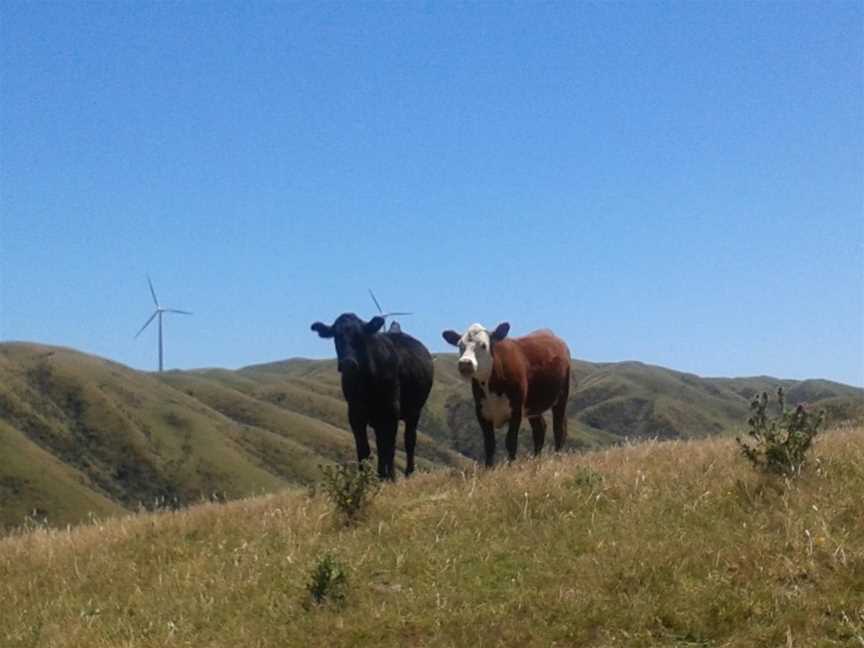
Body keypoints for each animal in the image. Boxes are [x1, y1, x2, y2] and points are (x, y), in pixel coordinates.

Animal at [308, 314, 432, 480]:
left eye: (360, 336)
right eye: (336, 336)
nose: (348, 363)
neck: (367, 380)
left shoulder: (391, 412)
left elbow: (389, 448)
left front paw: (391, 478)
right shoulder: (355, 413)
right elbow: (364, 449)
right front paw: (365, 480)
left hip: (414, 411)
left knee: (409, 440)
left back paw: (408, 473)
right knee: (381, 444)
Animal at [442, 322, 572, 466]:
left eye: (483, 345)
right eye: (460, 345)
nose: (465, 363)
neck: (492, 388)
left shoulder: (516, 410)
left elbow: (510, 442)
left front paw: (510, 466)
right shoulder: (481, 412)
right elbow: (489, 444)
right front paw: (488, 469)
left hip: (562, 396)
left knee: (559, 428)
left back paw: (557, 458)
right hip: (534, 406)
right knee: (540, 429)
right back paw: (536, 461)